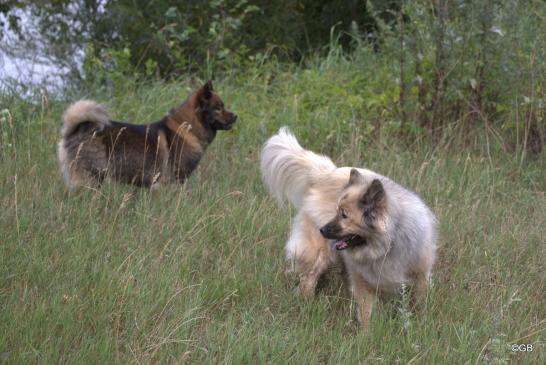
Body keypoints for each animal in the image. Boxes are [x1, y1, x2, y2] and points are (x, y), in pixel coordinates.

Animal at [58, 80, 236, 189]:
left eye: (223, 106)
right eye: (218, 108)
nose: (236, 116)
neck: (188, 128)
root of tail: (76, 129)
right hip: (93, 178)